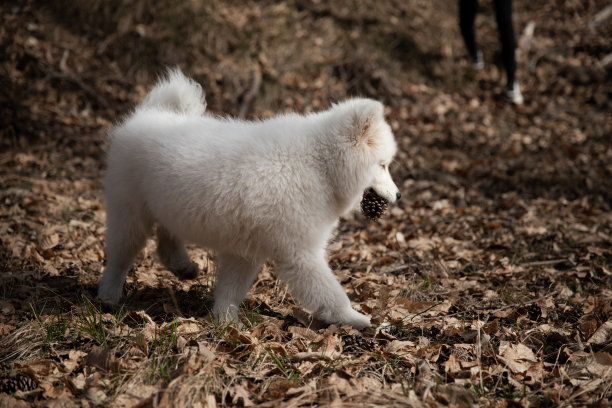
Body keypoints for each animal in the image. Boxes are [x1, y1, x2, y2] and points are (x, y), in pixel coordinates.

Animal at [97, 67, 402, 328]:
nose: (399, 195)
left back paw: (183, 267)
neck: (319, 164)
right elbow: (330, 292)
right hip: (130, 214)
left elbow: (230, 291)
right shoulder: (300, 253)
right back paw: (108, 297)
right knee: (120, 257)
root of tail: (146, 114)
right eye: (383, 165)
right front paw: (355, 318)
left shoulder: (245, 251)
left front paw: (226, 323)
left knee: (166, 241)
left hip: (168, 206)